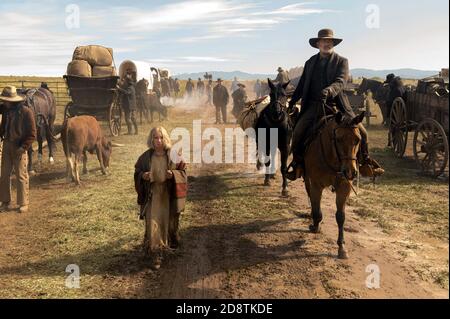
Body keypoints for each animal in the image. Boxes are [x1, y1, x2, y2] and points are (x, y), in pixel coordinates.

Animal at [302, 110, 366, 260]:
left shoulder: (344, 187)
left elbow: (341, 216)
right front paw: (316, 225)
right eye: (339, 139)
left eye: (357, 140)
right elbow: (316, 208)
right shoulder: (316, 184)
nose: (350, 172)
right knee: (309, 194)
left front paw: (342, 247)